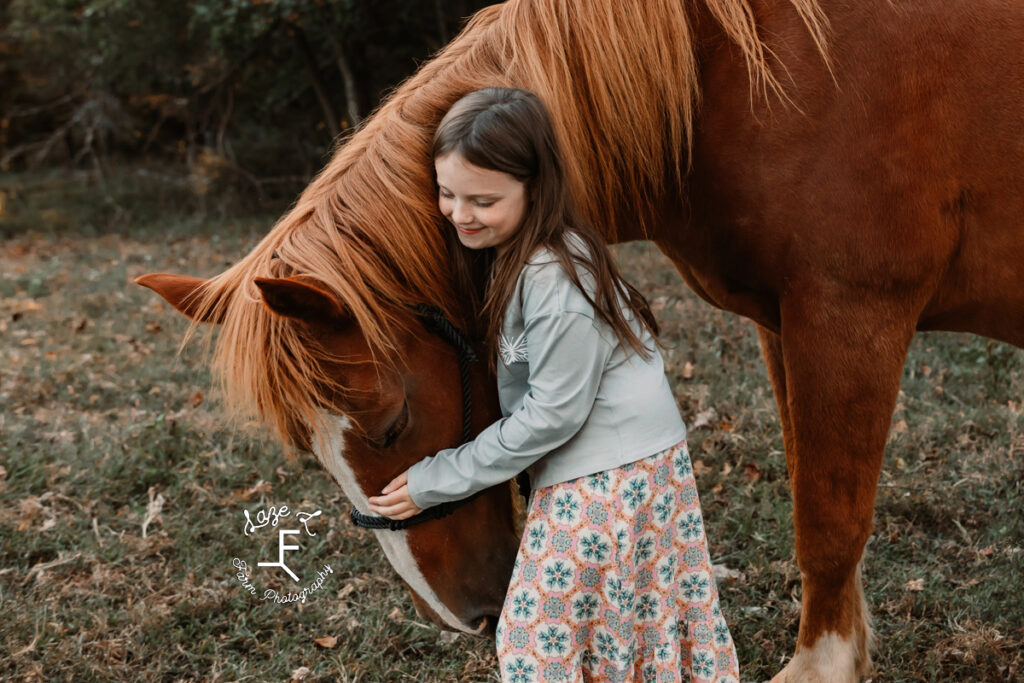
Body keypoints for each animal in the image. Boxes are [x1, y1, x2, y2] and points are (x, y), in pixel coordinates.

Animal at [138, 2, 1024, 679]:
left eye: (391, 425)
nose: (469, 615)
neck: (731, 78)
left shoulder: (848, 313)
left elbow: (831, 518)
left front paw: (822, 665)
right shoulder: (784, 323)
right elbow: (815, 486)